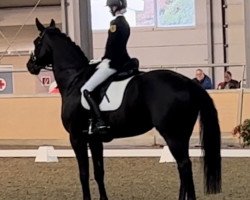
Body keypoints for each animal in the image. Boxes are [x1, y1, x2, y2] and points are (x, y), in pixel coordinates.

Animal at [26, 18, 221, 199]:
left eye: (36, 42)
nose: (30, 65)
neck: (75, 79)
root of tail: (188, 82)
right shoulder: (94, 139)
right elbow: (98, 172)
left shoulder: (77, 137)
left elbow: (83, 174)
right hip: (182, 133)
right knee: (185, 166)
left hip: (172, 134)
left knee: (184, 166)